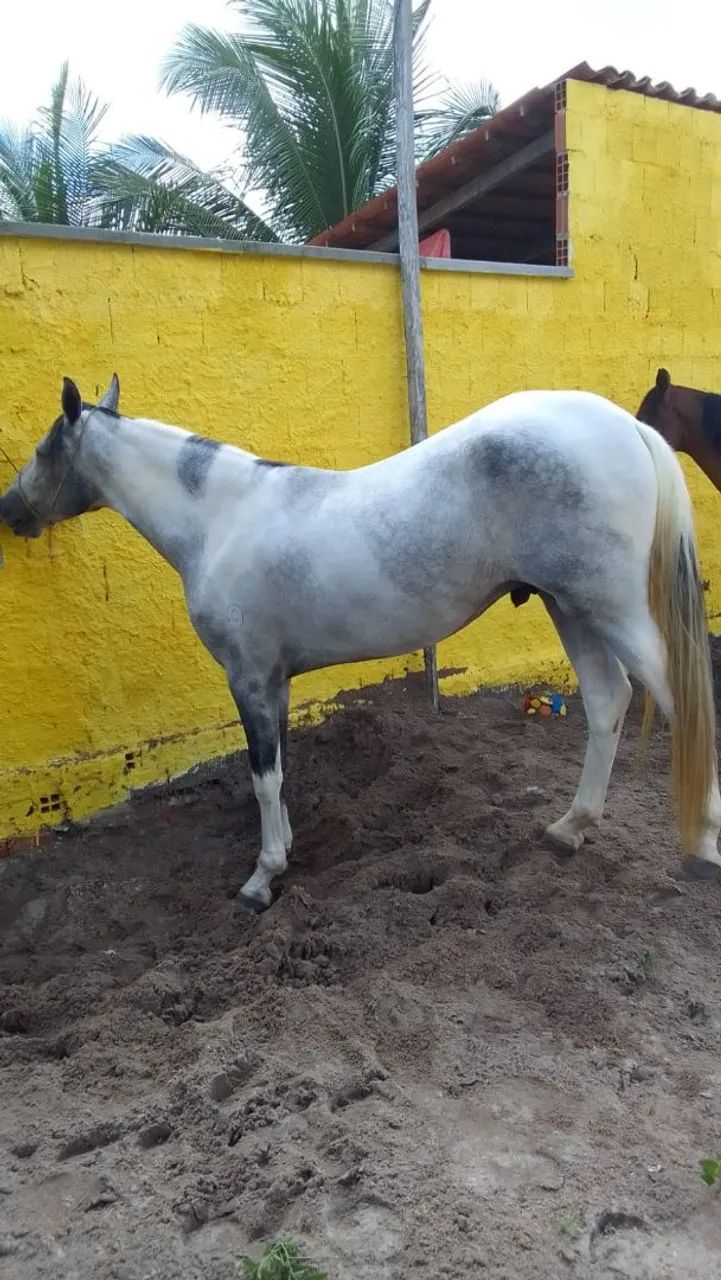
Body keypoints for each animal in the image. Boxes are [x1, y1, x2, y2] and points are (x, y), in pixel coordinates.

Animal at [1, 375, 720, 912]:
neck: (221, 519)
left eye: (43, 450)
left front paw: (261, 879)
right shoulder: (275, 681)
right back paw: (569, 829)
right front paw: (286, 849)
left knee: (680, 705)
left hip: (611, 607)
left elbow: (262, 775)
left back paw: (702, 850)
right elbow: (280, 771)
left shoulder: (248, 676)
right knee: (606, 702)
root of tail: (626, 427)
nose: (9, 510)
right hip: (570, 606)